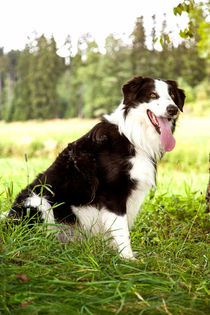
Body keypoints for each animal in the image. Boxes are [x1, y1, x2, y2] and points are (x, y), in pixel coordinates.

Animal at [7, 76, 185, 260]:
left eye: (172, 96)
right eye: (152, 95)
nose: (173, 110)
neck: (132, 137)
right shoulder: (113, 194)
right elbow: (122, 230)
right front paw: (128, 258)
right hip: (39, 201)